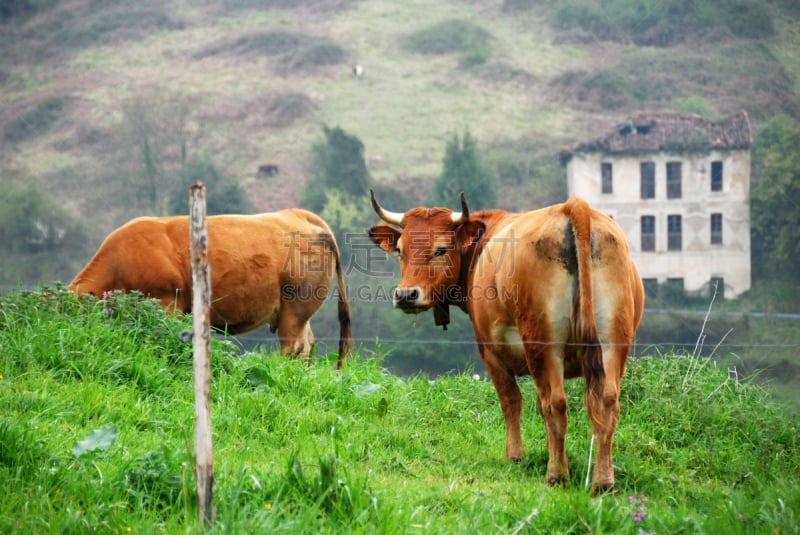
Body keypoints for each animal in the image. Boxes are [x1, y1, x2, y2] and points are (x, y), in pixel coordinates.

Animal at [70, 209, 352, 368]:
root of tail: (300, 214)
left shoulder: (167, 302)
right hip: (298, 310)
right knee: (308, 345)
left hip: (295, 306)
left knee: (293, 348)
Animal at [368, 192, 644, 494]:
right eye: (400, 250)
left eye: (440, 250)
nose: (406, 295)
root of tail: (574, 206)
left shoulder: (489, 351)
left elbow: (511, 399)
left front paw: (515, 455)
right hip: (612, 344)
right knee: (605, 403)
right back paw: (603, 481)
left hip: (542, 345)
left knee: (555, 404)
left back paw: (557, 475)